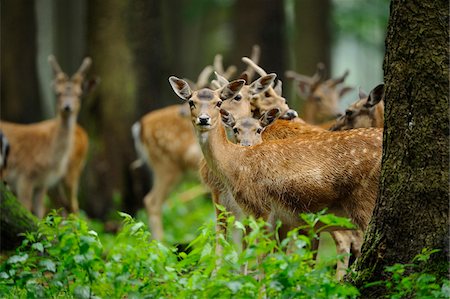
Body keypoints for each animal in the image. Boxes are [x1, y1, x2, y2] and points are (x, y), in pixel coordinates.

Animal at [0, 55, 92, 218]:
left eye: (79, 94)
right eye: (58, 93)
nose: (67, 107)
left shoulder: (42, 183)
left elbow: (38, 213)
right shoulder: (25, 176)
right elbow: (26, 208)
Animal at [169, 75, 384, 282]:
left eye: (219, 102)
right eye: (191, 101)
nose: (204, 119)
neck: (236, 163)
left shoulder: (261, 207)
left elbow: (261, 256)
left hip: (365, 200)